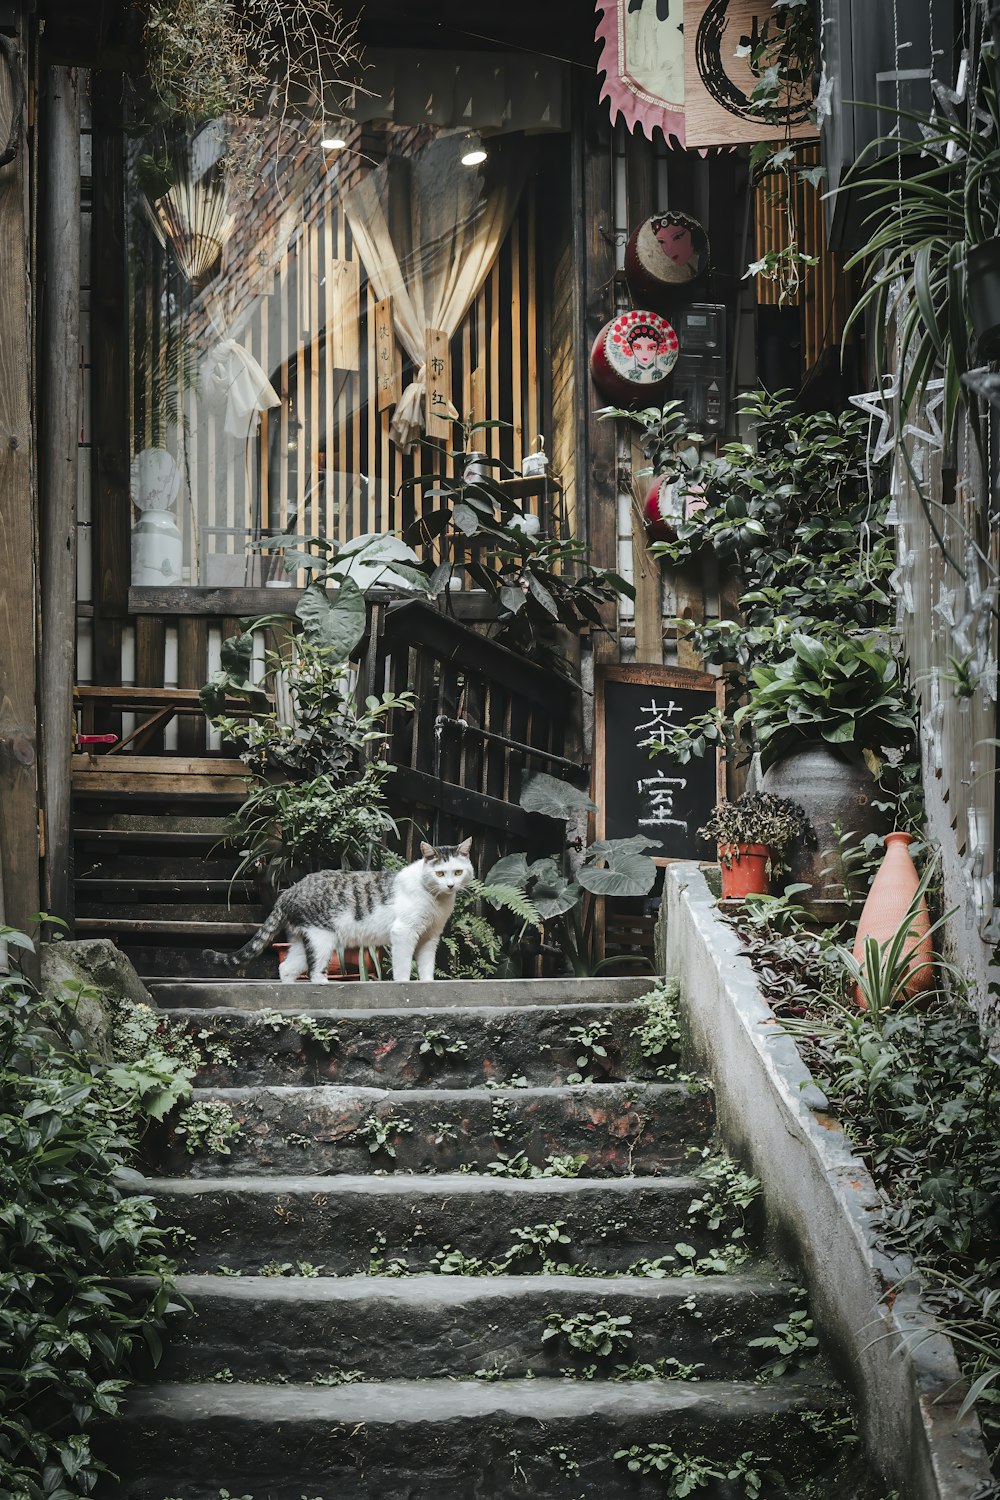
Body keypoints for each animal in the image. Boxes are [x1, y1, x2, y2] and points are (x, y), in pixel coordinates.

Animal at [205, 846, 476, 984]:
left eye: (457, 871)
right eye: (440, 873)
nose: (450, 885)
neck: (437, 901)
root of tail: (290, 890)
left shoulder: (430, 937)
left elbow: (427, 966)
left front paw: (427, 983)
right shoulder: (404, 933)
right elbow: (401, 966)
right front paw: (403, 984)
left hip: (303, 940)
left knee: (287, 968)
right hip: (322, 939)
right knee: (314, 972)